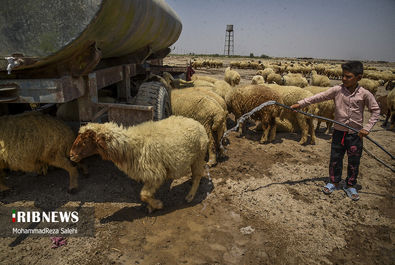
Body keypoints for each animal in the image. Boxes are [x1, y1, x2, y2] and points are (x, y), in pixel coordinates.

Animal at [69, 115, 209, 210]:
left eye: (85, 140)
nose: (71, 155)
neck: (131, 146)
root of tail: (197, 123)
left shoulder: (156, 174)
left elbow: (144, 195)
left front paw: (157, 205)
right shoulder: (151, 176)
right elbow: (146, 194)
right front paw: (152, 206)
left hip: (199, 156)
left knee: (198, 175)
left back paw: (190, 195)